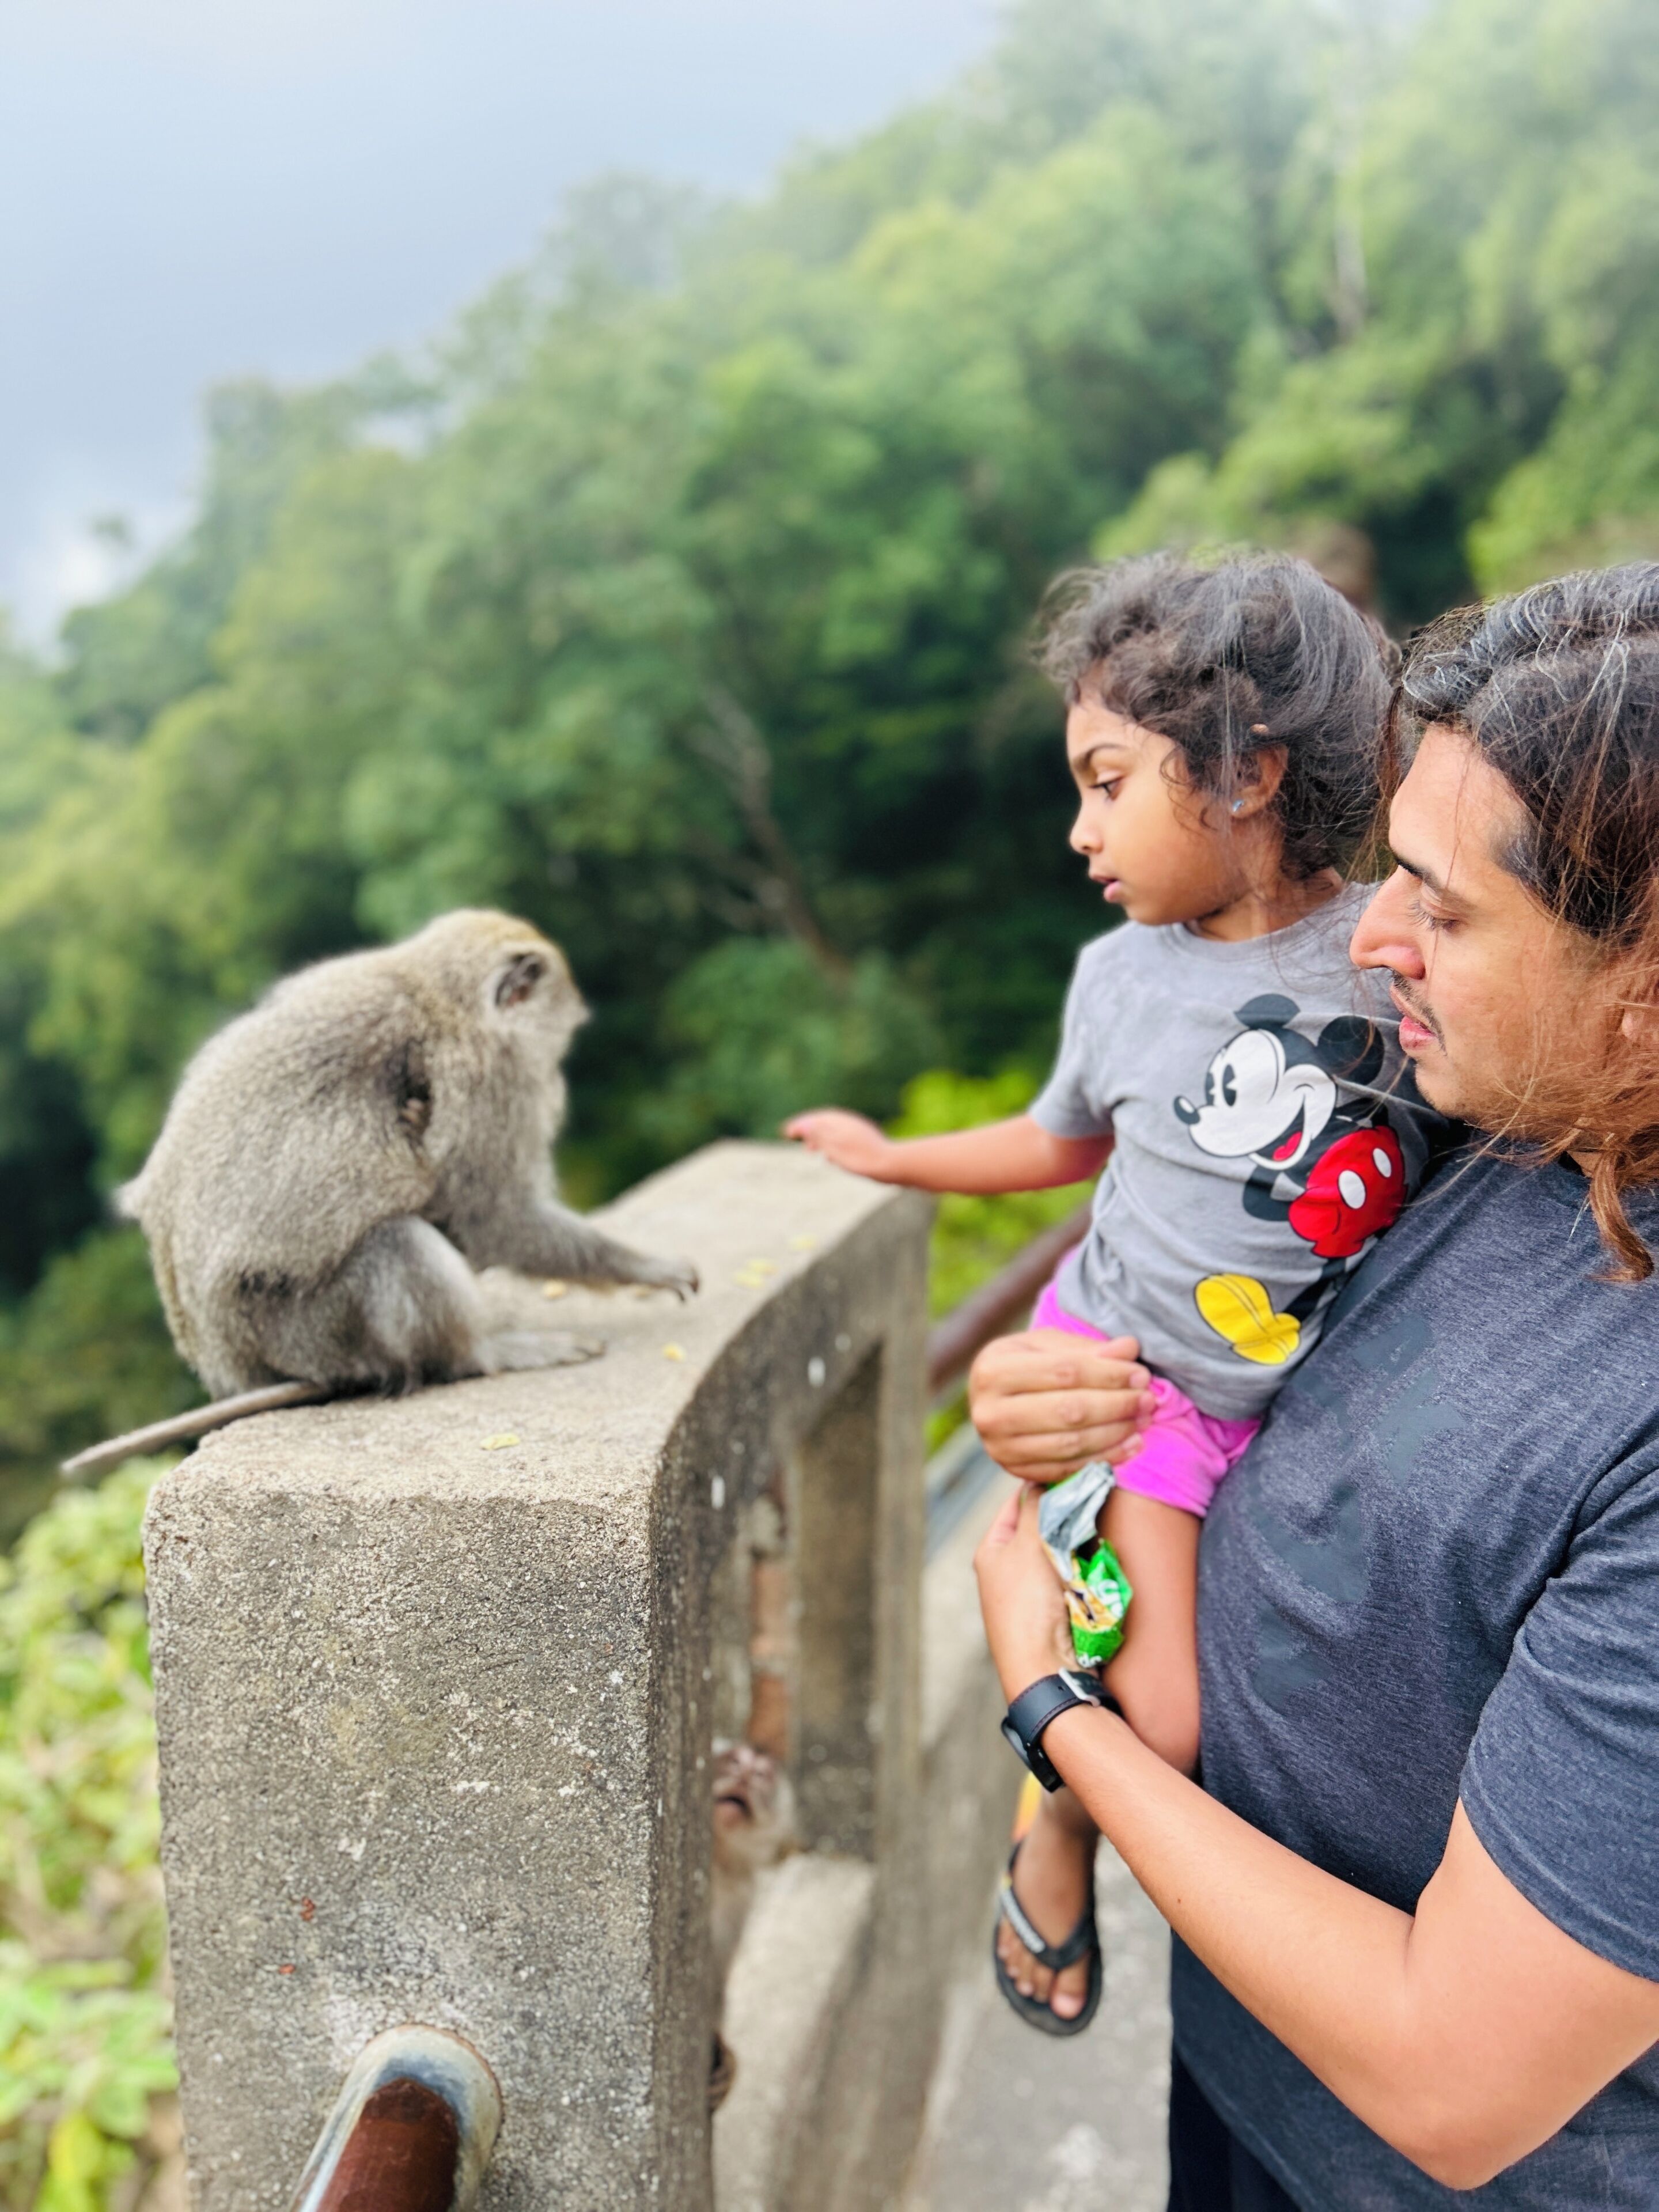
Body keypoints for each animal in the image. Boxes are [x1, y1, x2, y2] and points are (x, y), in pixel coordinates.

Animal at [64, 910, 697, 1477]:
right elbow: (493, 1218)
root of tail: (242, 1368)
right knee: (397, 1243)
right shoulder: (491, 1080)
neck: (440, 992)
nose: (561, 1060)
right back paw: (479, 1352)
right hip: (318, 1337)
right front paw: (647, 1266)